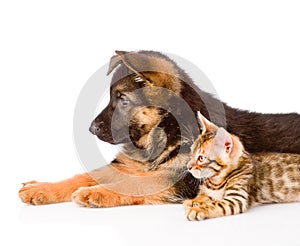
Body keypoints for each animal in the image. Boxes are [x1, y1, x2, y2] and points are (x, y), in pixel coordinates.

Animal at [19, 51, 300, 207]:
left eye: (123, 100)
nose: (90, 128)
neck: (165, 131)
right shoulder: (128, 165)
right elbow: (81, 176)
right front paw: (41, 189)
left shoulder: (177, 179)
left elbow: (133, 184)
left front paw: (94, 193)